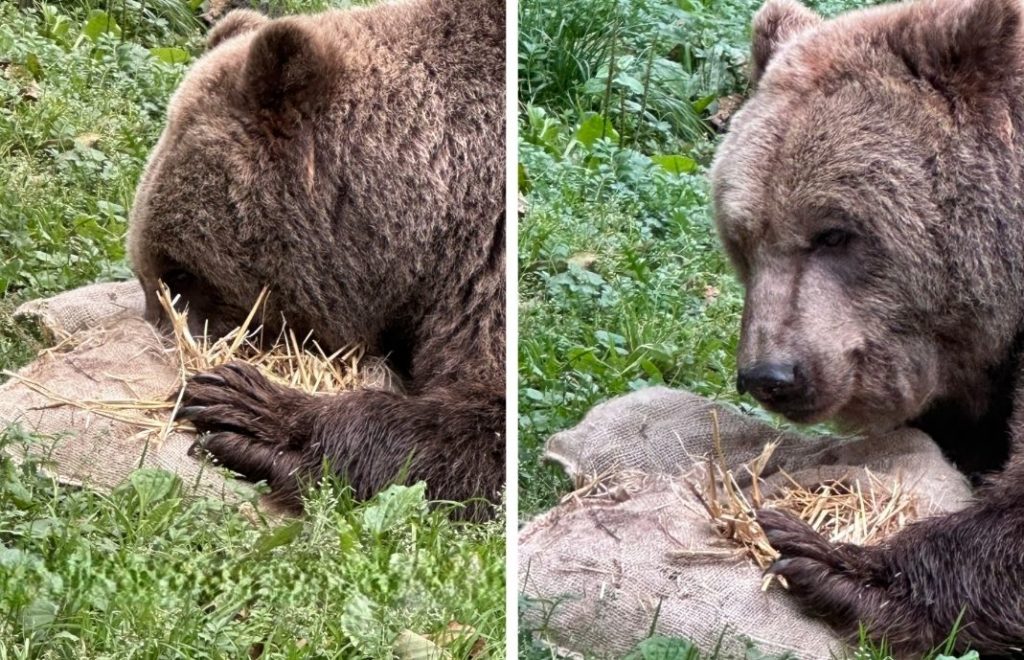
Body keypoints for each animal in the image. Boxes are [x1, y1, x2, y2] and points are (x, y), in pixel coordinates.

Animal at [125, 0, 505, 519]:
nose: (161, 337)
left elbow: (479, 420)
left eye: (180, 272)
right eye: (146, 273)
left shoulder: (484, 262)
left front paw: (249, 413)